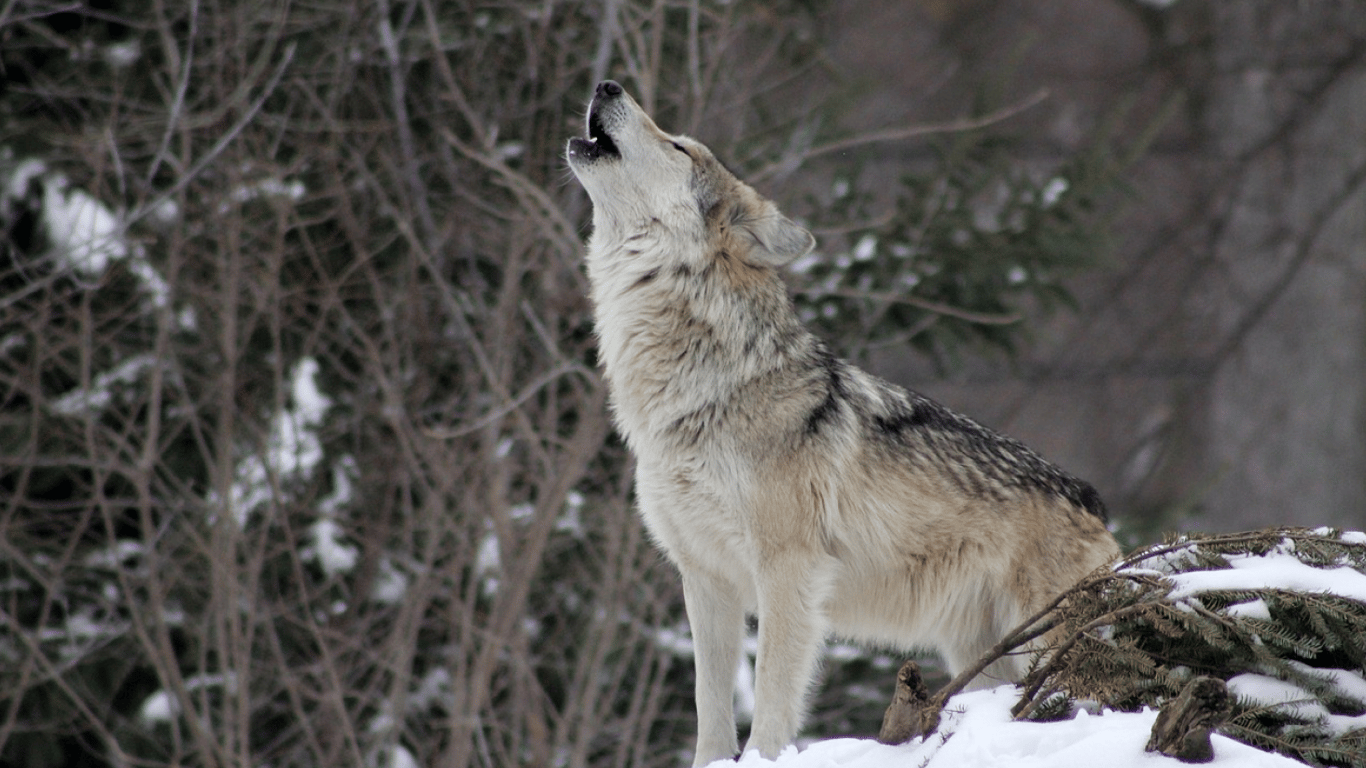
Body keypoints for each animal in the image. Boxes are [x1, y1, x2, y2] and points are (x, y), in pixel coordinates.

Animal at [565, 80, 1120, 759]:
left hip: (1042, 643)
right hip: (983, 655)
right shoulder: (705, 578)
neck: (699, 391)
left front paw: (762, 760)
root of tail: (1093, 501)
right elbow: (708, 706)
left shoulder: (788, 571)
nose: (606, 84)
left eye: (679, 146)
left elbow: (772, 696)